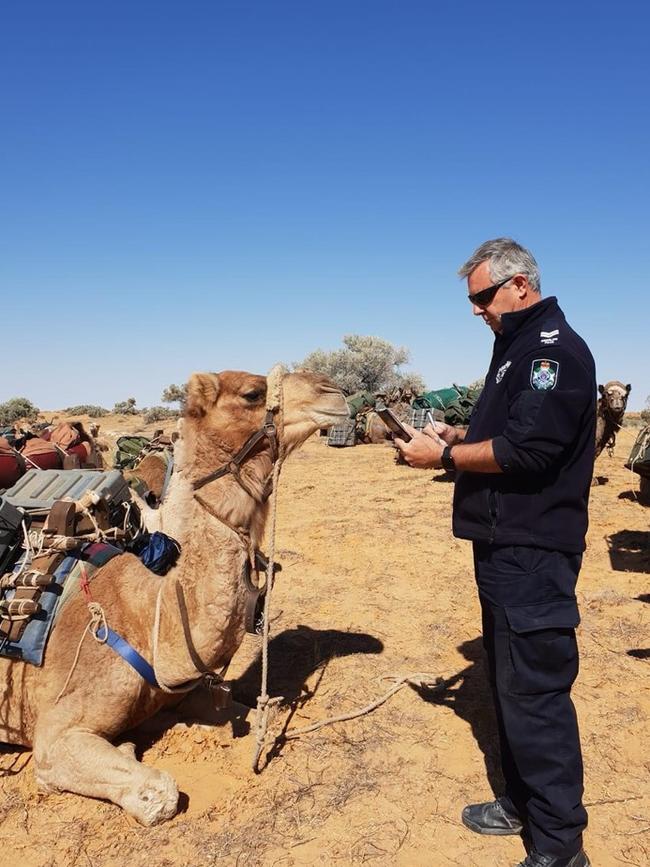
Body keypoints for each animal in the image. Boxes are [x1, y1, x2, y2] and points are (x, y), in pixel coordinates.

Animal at [0, 368, 346, 828]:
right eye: (252, 393)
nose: (335, 392)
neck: (150, 619)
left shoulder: (186, 689)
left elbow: (244, 708)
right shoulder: (55, 735)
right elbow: (160, 794)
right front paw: (130, 750)